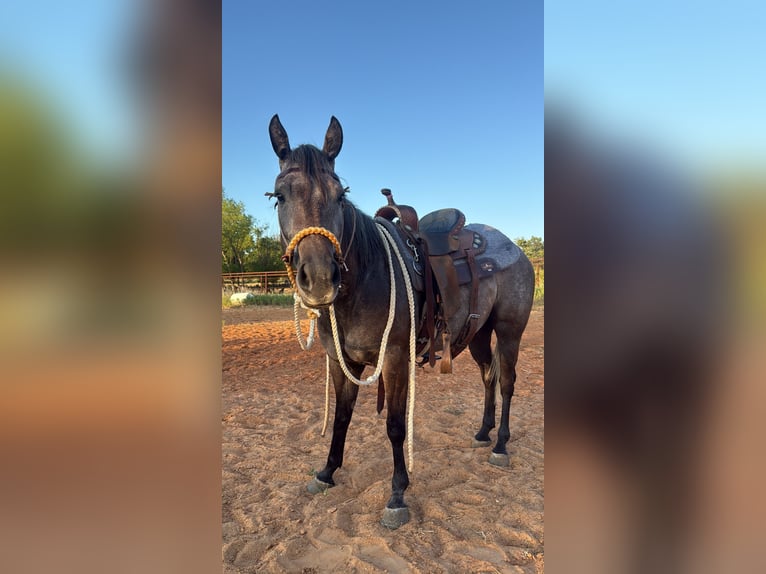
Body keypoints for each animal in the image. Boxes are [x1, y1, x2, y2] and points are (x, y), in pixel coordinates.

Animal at [267, 114, 535, 529]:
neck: (366, 277)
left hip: (509, 331)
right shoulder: (341, 361)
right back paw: (482, 432)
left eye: (340, 195)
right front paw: (326, 472)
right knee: (488, 376)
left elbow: (395, 425)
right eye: (280, 196)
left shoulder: (394, 359)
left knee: (506, 381)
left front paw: (396, 495)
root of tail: (516, 249)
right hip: (477, 334)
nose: (321, 277)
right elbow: (342, 416)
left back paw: (501, 445)